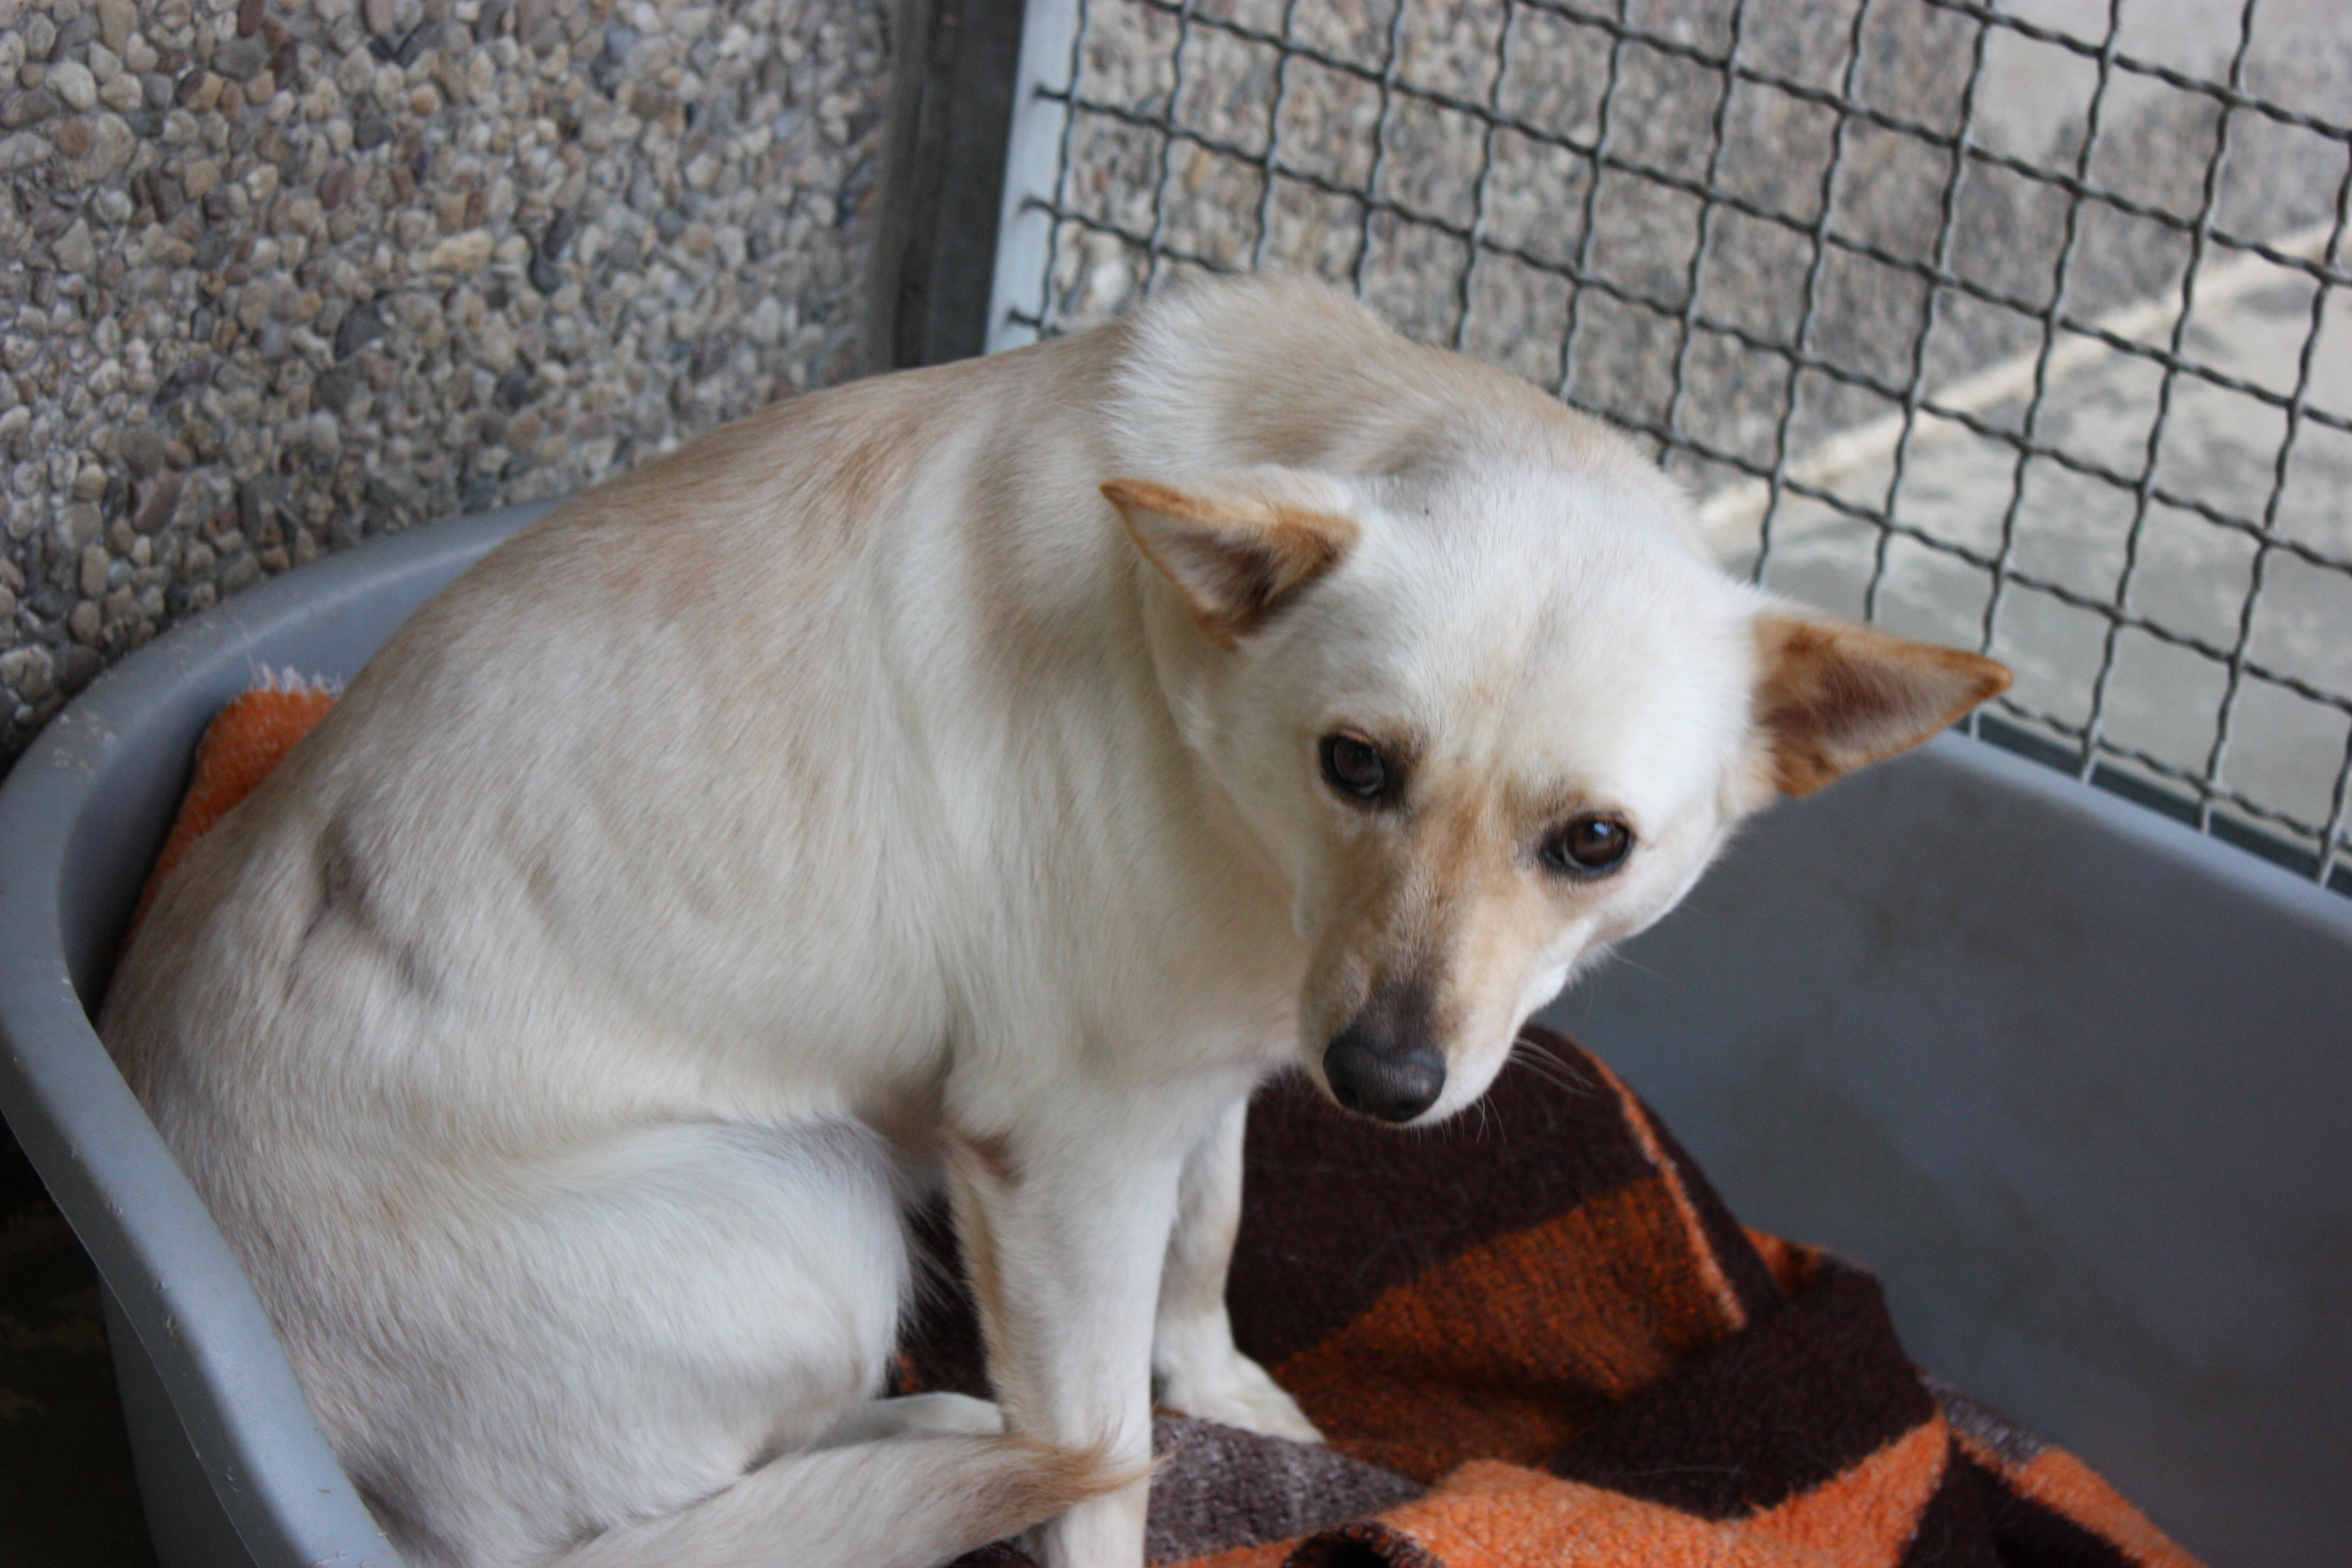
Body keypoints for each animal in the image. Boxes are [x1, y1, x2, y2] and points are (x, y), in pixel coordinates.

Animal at [101, 276, 2008, 1568]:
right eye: (1358, 763)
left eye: (1591, 843)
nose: (1385, 1083)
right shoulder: (1060, 1157)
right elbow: (1104, 1457)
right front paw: (1130, 1455)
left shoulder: (1205, 1081)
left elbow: (1207, 1246)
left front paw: (1223, 1388)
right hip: (806, 1218)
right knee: (685, 1508)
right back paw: (930, 1456)